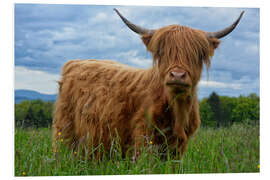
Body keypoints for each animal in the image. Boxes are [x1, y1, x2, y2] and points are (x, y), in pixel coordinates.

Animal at [52, 8, 245, 159]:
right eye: (162, 52)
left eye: (196, 54)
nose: (177, 75)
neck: (177, 111)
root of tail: (74, 62)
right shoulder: (144, 137)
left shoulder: (179, 147)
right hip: (64, 130)